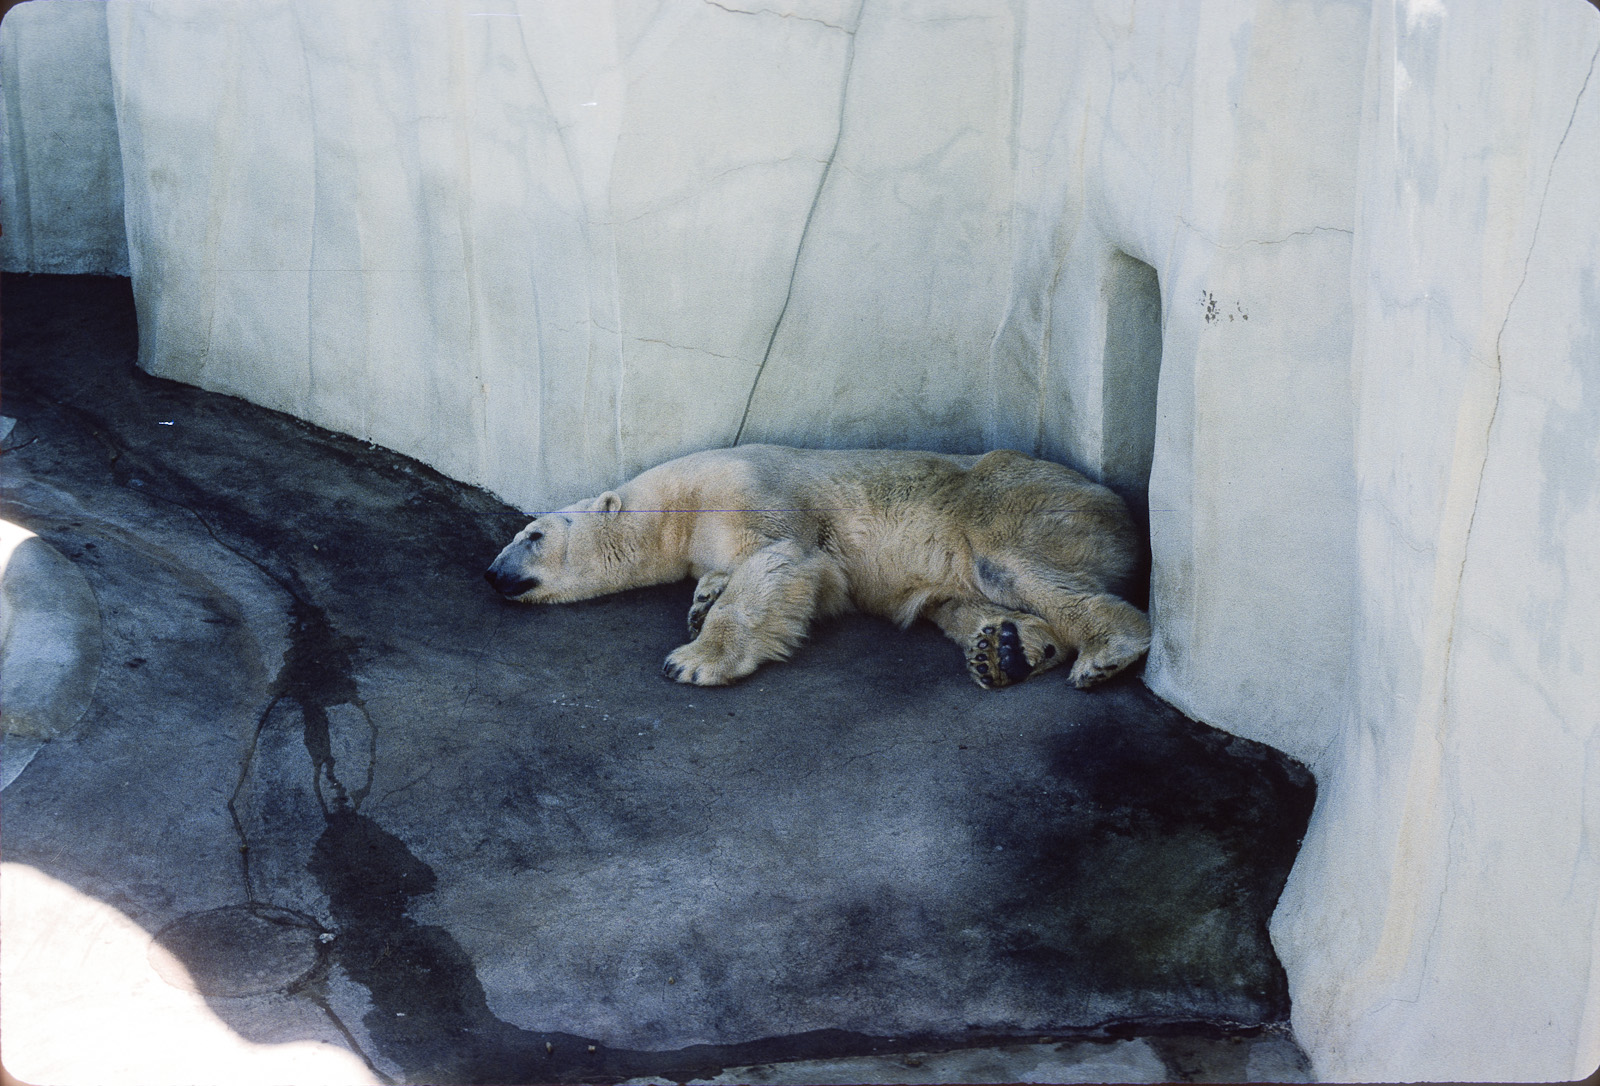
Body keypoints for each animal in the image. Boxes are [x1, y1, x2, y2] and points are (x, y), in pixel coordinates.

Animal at [484, 444, 1151, 690]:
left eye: (532, 534)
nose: (492, 573)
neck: (680, 503)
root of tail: (1119, 504)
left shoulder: (748, 492)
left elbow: (784, 562)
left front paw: (693, 659)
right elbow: (727, 574)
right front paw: (702, 601)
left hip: (1015, 504)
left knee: (1015, 566)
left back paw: (1107, 651)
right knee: (959, 602)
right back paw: (1005, 649)